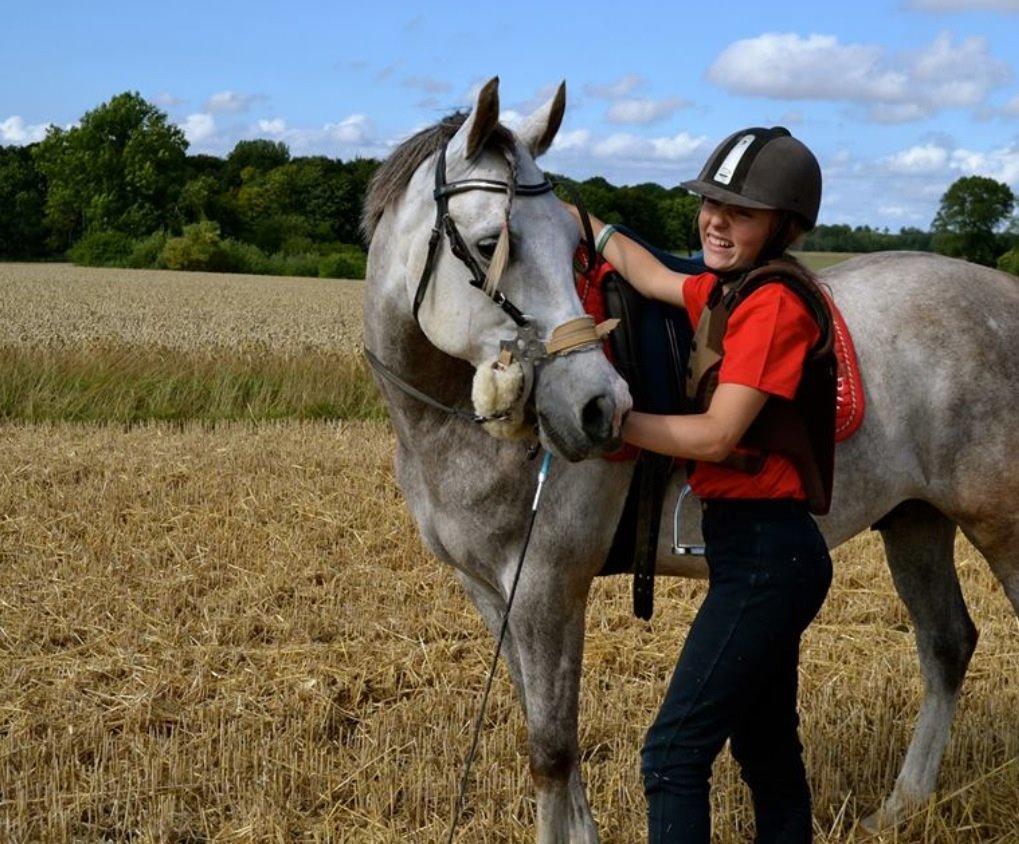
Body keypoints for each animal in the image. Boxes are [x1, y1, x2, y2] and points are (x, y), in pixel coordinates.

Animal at [362, 77, 1014, 835]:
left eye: (573, 251)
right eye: (494, 241)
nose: (599, 408)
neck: (443, 428)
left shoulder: (547, 586)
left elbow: (551, 751)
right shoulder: (492, 590)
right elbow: (550, 743)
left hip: (998, 525)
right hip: (915, 520)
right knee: (946, 645)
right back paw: (901, 807)